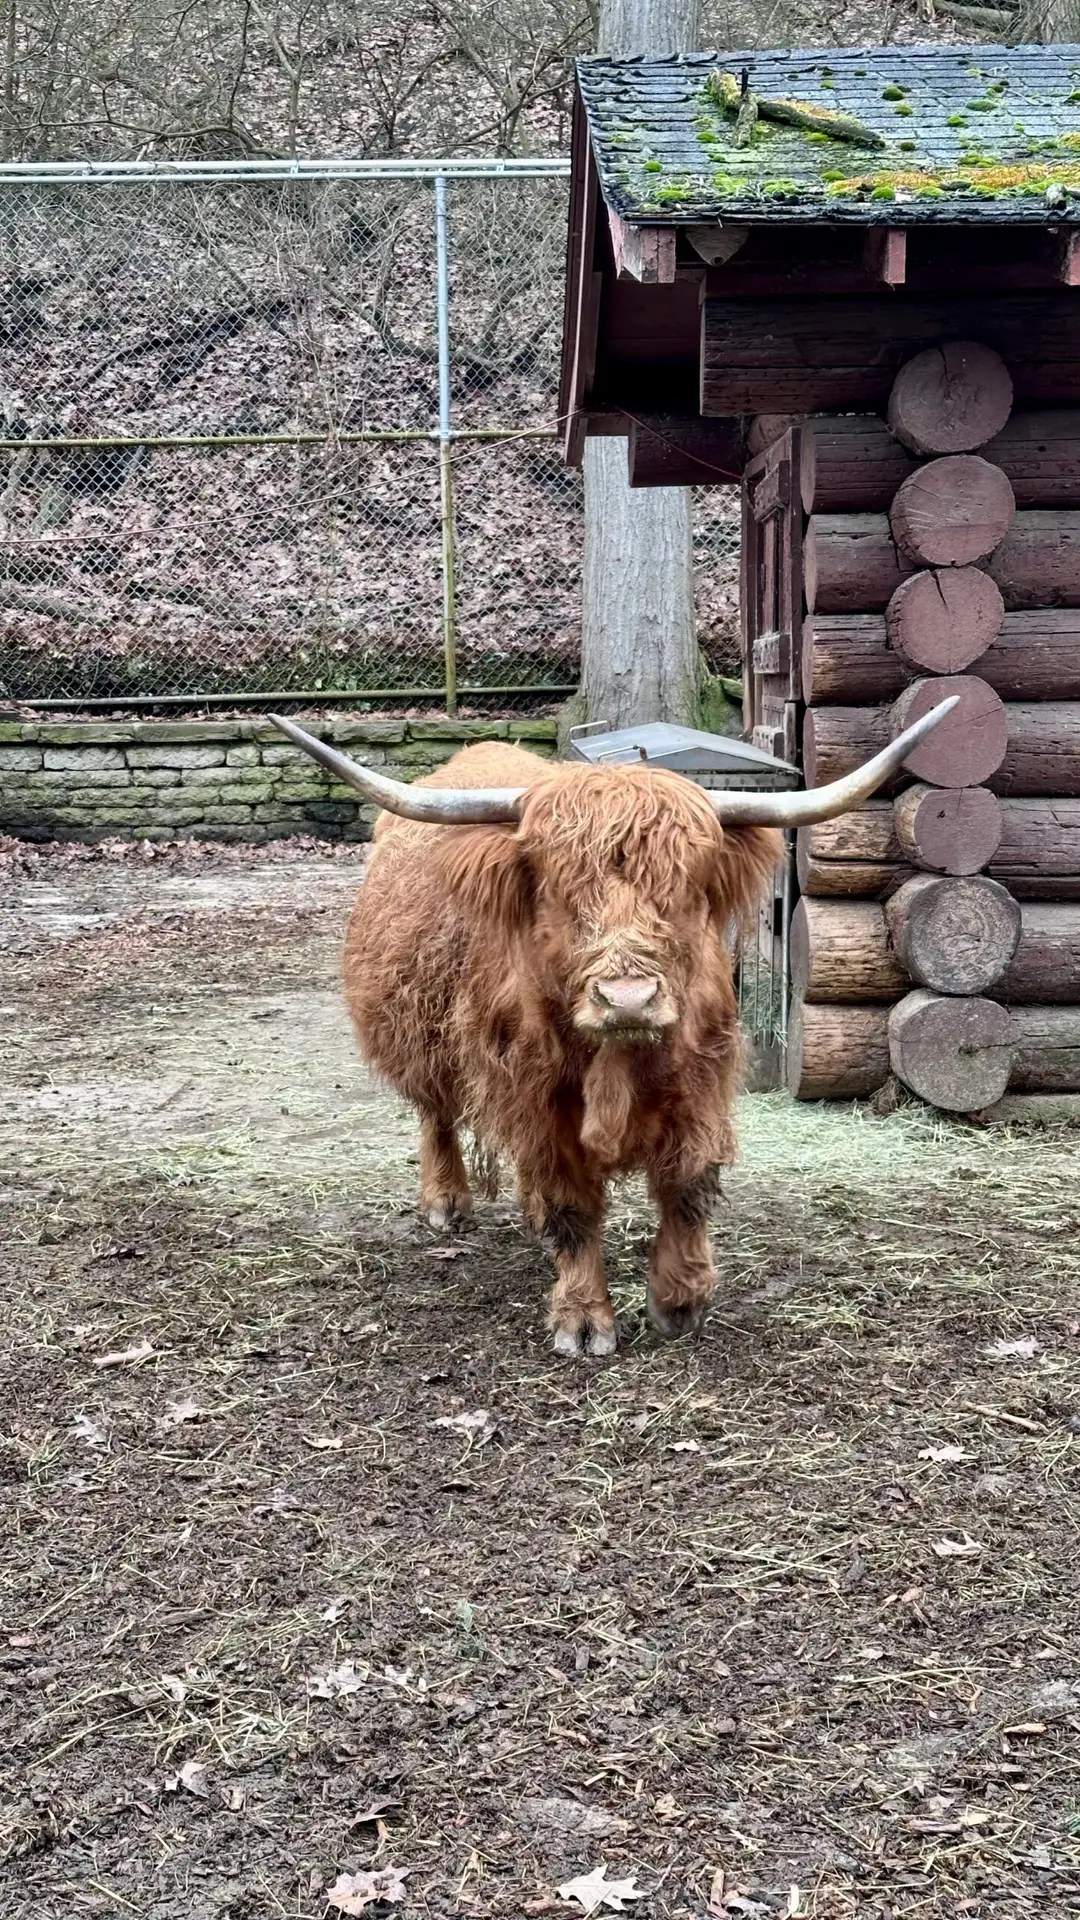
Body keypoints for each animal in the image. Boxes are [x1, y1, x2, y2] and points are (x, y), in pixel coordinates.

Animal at [273, 699, 955, 1357]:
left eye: (685, 886)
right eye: (556, 888)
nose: (628, 1000)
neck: (618, 1066)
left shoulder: (701, 1084)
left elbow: (687, 1188)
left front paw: (679, 1300)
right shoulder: (538, 1104)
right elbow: (572, 1206)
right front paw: (582, 1318)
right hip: (417, 1034)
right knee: (436, 1111)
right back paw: (445, 1202)